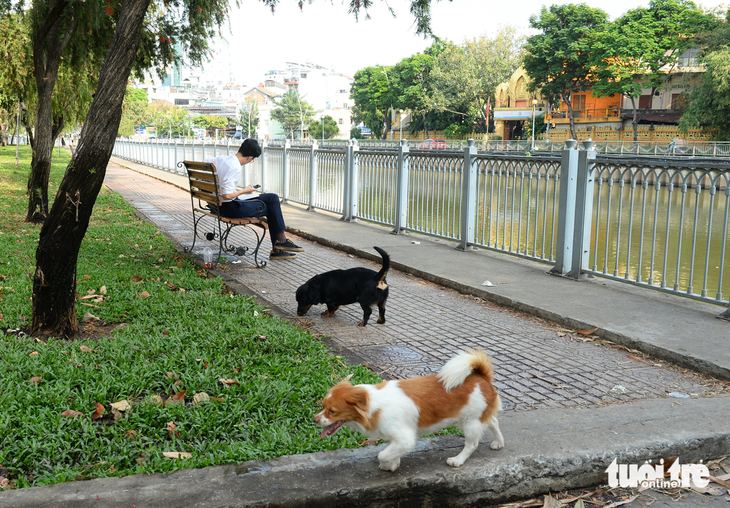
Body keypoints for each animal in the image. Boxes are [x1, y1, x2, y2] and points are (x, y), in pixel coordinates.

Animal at [312, 350, 500, 472]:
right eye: (323, 406)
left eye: (332, 411)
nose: (315, 419)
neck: (373, 405)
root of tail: (481, 376)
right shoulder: (396, 438)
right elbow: (391, 451)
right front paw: (394, 463)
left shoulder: (406, 439)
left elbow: (382, 454)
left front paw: (387, 464)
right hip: (478, 415)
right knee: (494, 422)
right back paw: (499, 443)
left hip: (471, 422)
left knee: (472, 444)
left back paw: (458, 460)